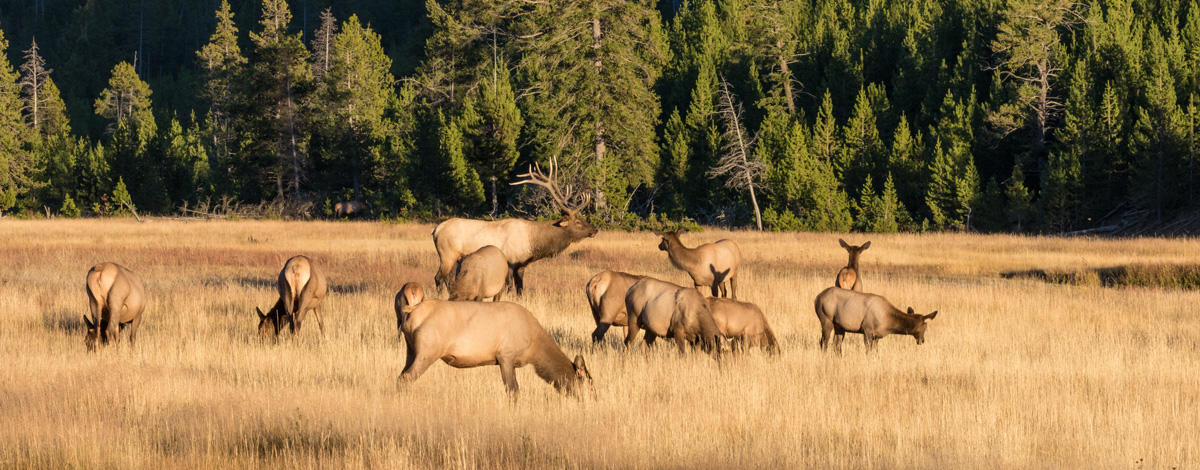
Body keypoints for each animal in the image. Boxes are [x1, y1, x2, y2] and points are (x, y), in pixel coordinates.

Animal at [398, 299, 595, 395]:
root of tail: (412, 312)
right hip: (428, 351)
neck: (534, 346)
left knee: (400, 376)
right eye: (589, 384)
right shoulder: (506, 355)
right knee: (407, 377)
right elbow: (513, 389)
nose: (594, 399)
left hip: (410, 350)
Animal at [434, 159, 597, 296]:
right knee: (439, 278)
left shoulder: (522, 265)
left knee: (447, 278)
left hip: (455, 257)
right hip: (447, 254)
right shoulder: (511, 261)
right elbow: (509, 287)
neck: (533, 243)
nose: (595, 229)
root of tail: (435, 230)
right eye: (578, 222)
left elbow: (520, 289)